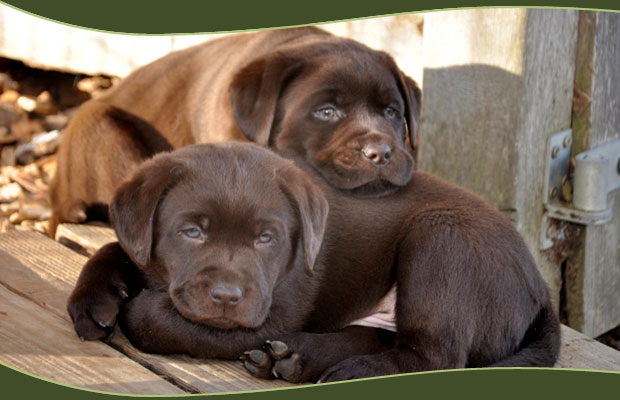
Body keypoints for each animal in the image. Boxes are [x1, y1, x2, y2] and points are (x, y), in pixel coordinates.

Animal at [67, 143, 560, 383]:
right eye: (192, 232)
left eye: (266, 238)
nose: (227, 297)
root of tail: (541, 290)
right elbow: (115, 248)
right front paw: (93, 301)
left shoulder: (274, 310)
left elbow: (155, 319)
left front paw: (136, 308)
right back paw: (295, 360)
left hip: (441, 237)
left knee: (437, 355)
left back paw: (346, 370)